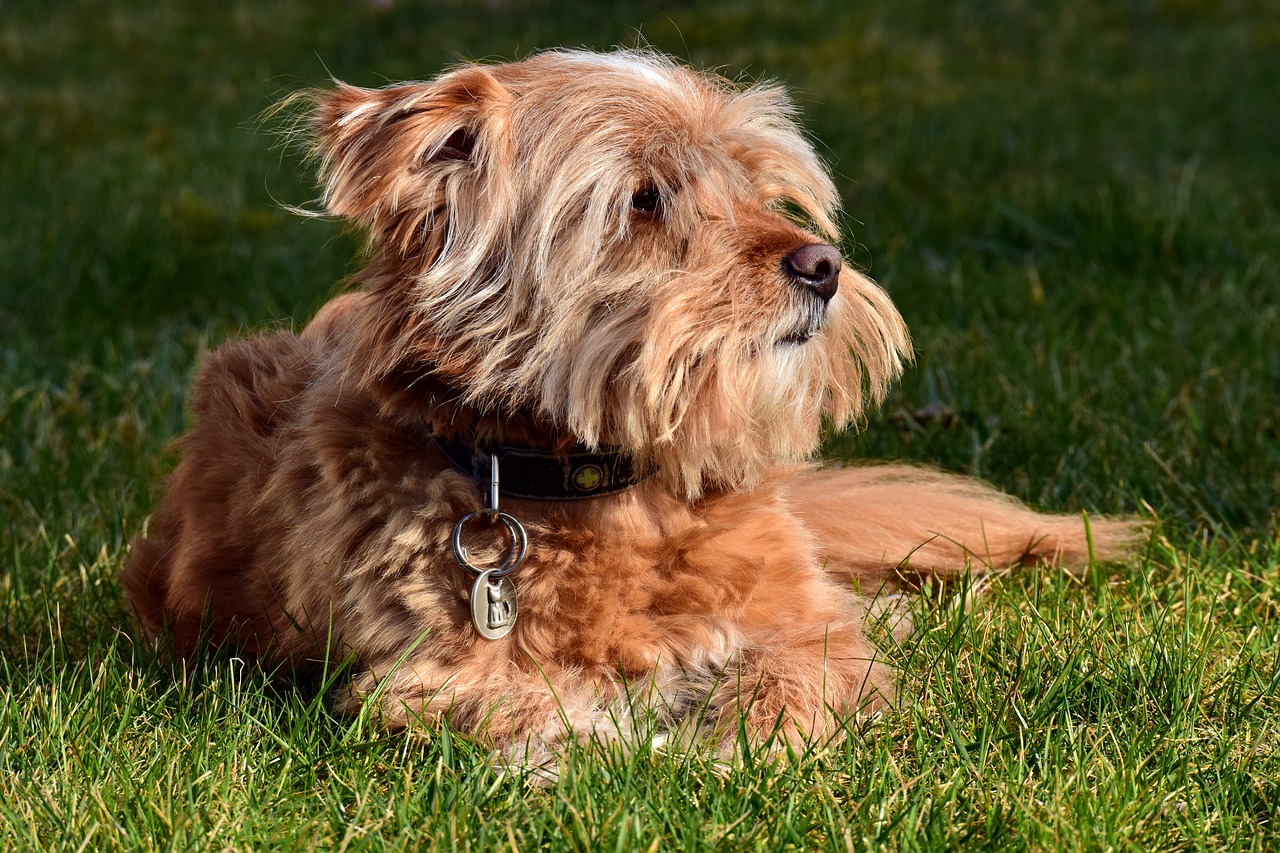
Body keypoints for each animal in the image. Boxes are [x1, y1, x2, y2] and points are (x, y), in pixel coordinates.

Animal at [117, 49, 1141, 758]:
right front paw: (639, 743)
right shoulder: (424, 674)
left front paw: (737, 746)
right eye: (644, 199)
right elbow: (540, 711)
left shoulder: (807, 625)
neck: (612, 485)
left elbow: (798, 677)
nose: (823, 266)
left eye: (759, 186)